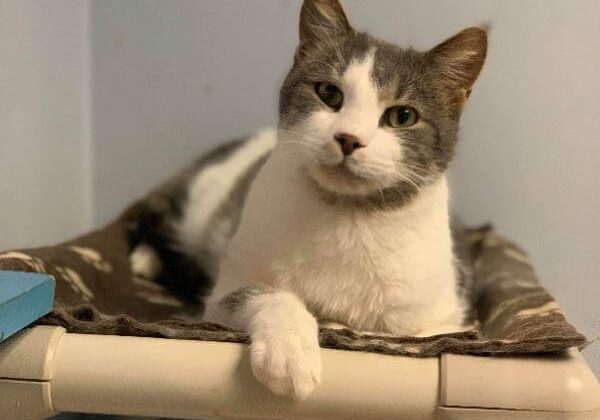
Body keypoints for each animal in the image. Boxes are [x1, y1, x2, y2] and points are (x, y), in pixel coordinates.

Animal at [126, 0, 488, 400]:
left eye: (403, 115)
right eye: (329, 93)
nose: (348, 138)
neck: (347, 215)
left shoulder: (447, 319)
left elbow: (405, 334)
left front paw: (335, 328)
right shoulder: (223, 294)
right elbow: (265, 294)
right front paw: (288, 349)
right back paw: (144, 258)